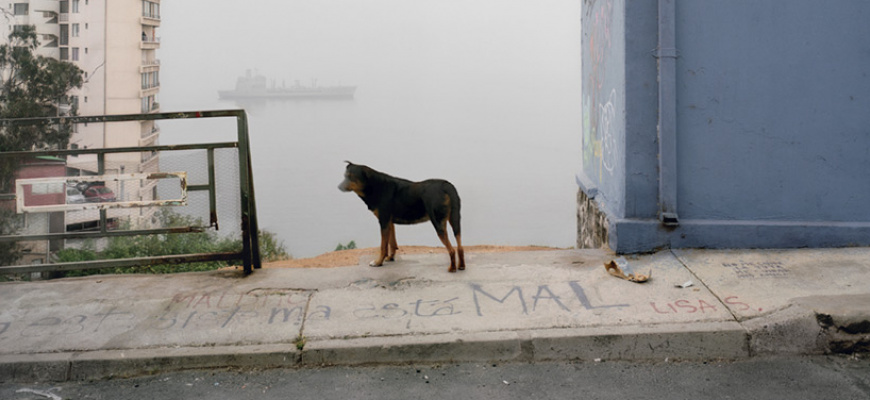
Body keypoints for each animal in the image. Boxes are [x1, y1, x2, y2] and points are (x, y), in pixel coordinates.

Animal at [338, 162, 466, 272]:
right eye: (345, 176)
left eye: (351, 177)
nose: (339, 187)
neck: (375, 186)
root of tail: (446, 185)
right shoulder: (389, 222)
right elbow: (392, 243)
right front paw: (390, 258)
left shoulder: (383, 221)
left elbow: (383, 246)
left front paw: (378, 262)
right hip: (454, 220)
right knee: (460, 246)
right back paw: (461, 266)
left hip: (438, 222)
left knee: (452, 250)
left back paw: (452, 268)